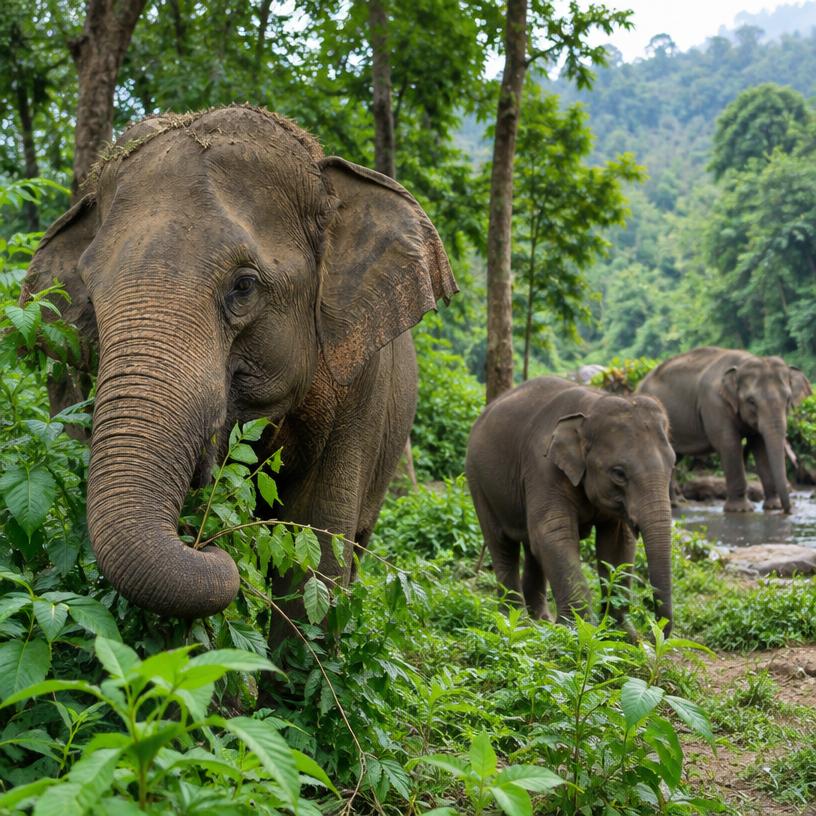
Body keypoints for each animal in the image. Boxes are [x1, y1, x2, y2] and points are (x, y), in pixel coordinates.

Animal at [465, 377, 675, 636]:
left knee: (531, 546)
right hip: (478, 481)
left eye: (673, 465)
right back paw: (516, 622)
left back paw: (540, 620)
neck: (591, 406)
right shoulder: (542, 468)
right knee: (502, 544)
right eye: (618, 473)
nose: (655, 633)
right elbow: (554, 533)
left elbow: (617, 543)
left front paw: (624, 635)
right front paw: (578, 631)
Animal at [638, 347, 811, 514]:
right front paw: (740, 510)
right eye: (751, 401)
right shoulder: (714, 403)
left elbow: (760, 446)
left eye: (788, 399)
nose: (788, 511)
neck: (743, 363)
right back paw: (674, 505)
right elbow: (729, 444)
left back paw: (675, 504)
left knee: (675, 456)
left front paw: (773, 507)